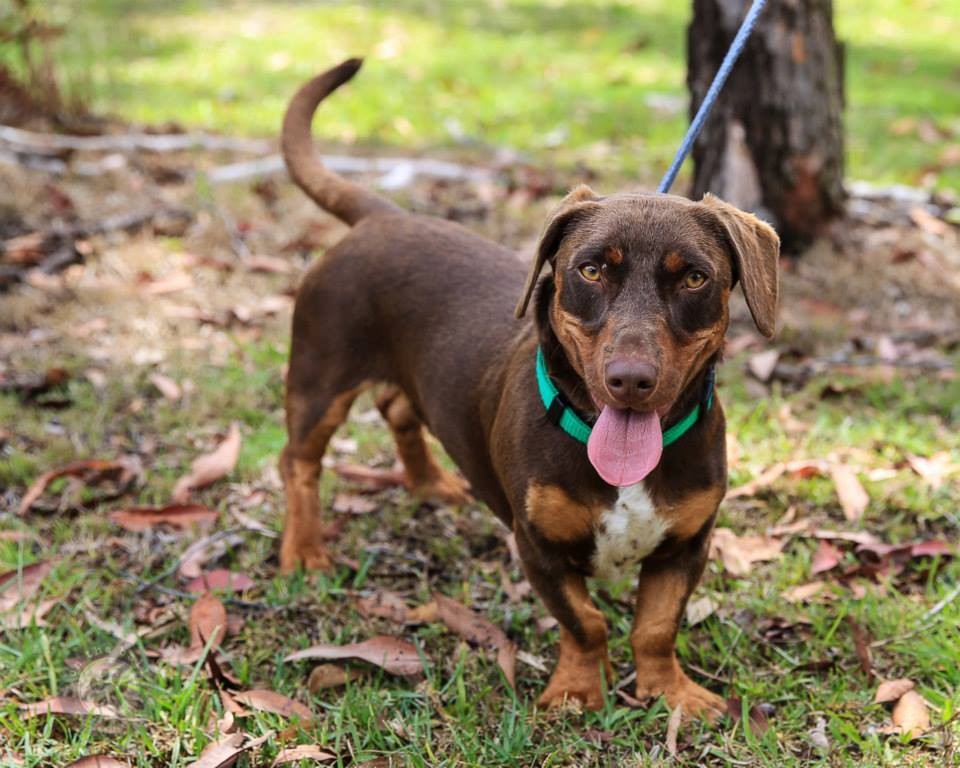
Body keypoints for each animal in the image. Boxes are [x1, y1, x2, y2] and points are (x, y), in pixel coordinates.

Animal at [278, 60, 780, 720]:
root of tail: (383, 215)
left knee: (397, 408)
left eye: (695, 278)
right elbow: (586, 623)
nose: (630, 379)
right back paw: (303, 549)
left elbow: (655, 626)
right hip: (320, 378)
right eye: (590, 270)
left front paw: (670, 692)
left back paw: (430, 482)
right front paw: (577, 691)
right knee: (298, 463)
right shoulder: (536, 544)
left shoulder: (686, 546)